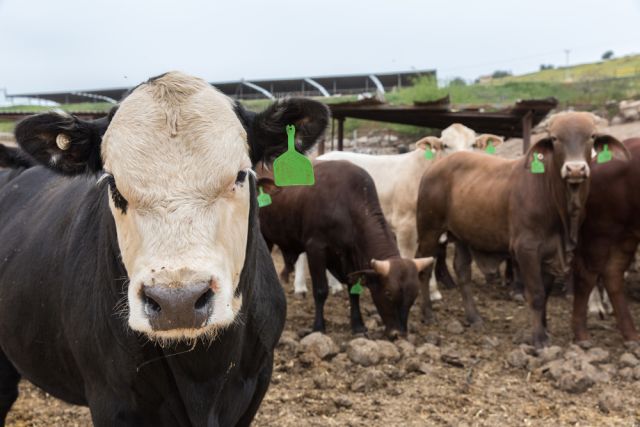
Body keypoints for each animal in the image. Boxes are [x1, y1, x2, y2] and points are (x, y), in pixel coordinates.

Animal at [0, 72, 330, 426]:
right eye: (113, 184)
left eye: (241, 175)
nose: (178, 302)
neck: (203, 376)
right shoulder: (111, 399)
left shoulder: (256, 384)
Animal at [292, 122, 502, 300]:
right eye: (445, 145)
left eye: (473, 144)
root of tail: (320, 157)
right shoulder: (405, 226)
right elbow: (409, 257)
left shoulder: (432, 227)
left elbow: (431, 257)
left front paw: (433, 293)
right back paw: (300, 288)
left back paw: (336, 287)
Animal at [572, 139, 640, 346]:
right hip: (600, 232)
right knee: (588, 276)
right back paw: (582, 333)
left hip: (626, 235)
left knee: (613, 274)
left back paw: (631, 334)